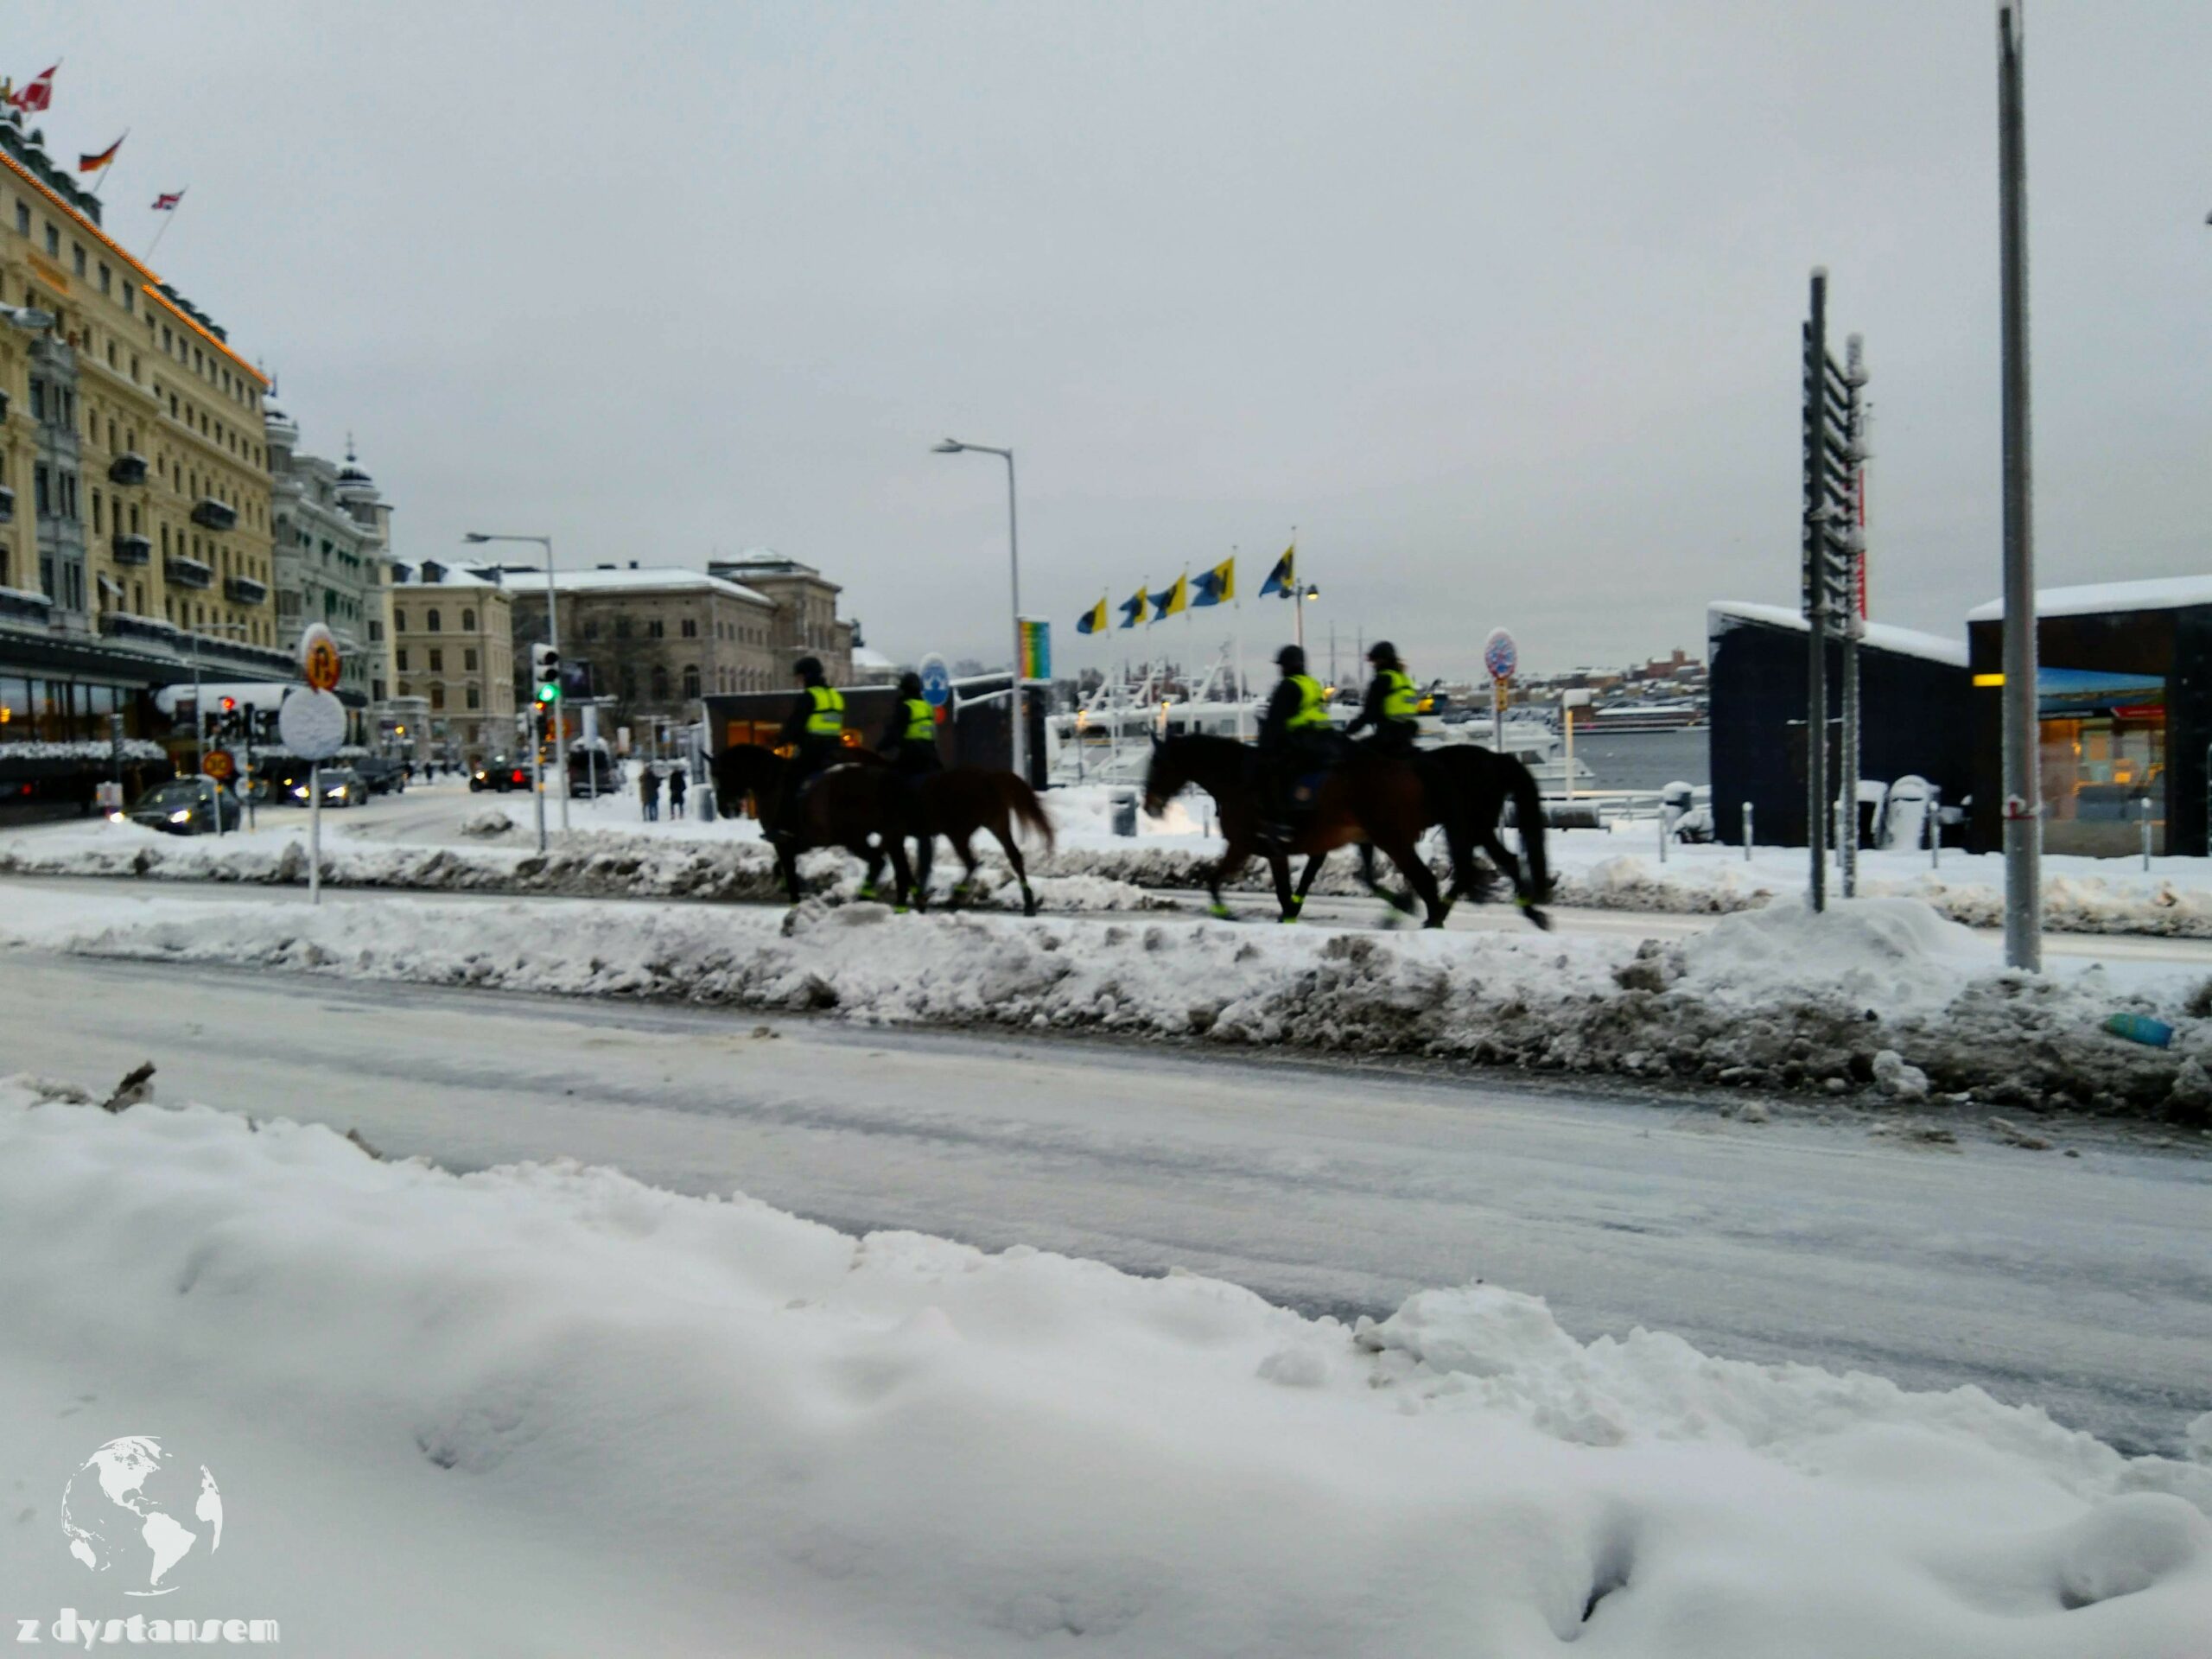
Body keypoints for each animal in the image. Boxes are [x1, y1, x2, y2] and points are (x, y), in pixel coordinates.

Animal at [1141, 734, 1451, 929]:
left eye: (1156, 764)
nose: (1149, 806)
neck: (1237, 781)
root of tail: (1410, 773)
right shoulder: (1278, 851)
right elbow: (1287, 888)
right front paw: (1287, 914)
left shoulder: (1244, 846)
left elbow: (1216, 880)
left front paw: (1227, 914)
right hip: (1379, 838)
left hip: (1392, 840)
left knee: (1424, 879)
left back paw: (1431, 919)